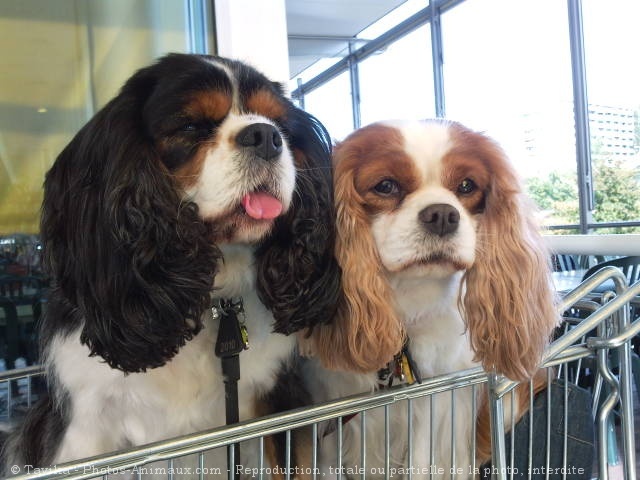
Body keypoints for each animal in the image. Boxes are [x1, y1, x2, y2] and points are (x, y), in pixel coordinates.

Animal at [302, 119, 556, 476]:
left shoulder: (436, 408)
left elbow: (424, 463)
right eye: (386, 186)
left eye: (466, 185)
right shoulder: (331, 417)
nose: (442, 215)